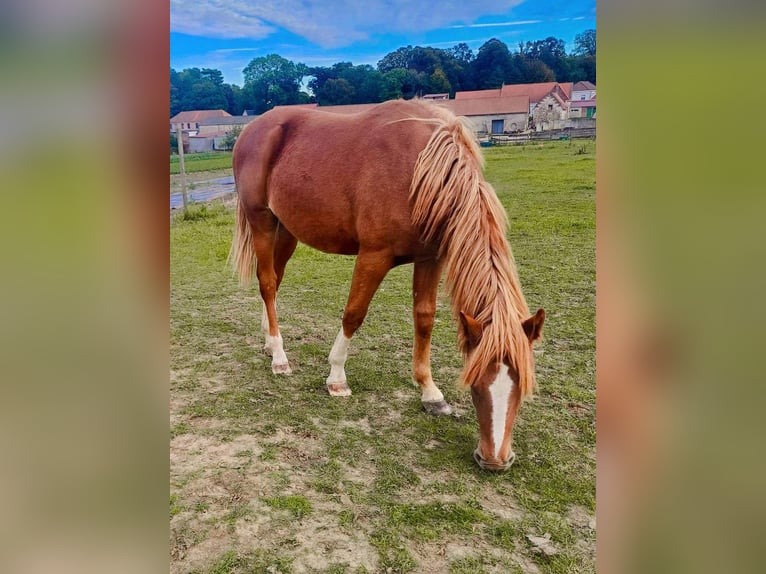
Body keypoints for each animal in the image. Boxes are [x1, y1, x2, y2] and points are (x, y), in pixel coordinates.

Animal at [230, 100, 544, 472]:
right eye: (477, 381)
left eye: (522, 385)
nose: (495, 460)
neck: (420, 169)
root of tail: (252, 129)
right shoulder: (374, 256)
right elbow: (354, 314)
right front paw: (337, 378)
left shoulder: (431, 257)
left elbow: (424, 319)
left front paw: (430, 393)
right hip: (262, 223)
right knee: (267, 284)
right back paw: (279, 357)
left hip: (287, 229)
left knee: (274, 282)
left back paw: (269, 341)